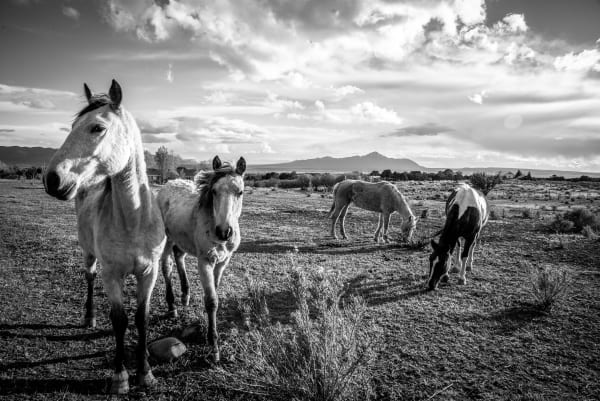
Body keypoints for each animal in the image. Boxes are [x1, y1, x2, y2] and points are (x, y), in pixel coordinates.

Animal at [42, 79, 165, 392]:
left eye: (97, 127)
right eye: (73, 126)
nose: (51, 179)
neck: (133, 220)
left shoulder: (150, 272)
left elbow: (142, 318)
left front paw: (145, 372)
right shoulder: (112, 274)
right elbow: (119, 320)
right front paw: (120, 377)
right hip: (88, 255)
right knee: (89, 278)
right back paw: (89, 316)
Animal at [158, 155, 247, 360]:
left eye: (240, 192)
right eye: (213, 191)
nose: (224, 232)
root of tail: (168, 184)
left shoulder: (223, 262)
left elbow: (215, 291)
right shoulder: (204, 261)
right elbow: (211, 300)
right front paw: (213, 345)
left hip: (181, 238)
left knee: (179, 256)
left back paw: (185, 295)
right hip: (166, 238)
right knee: (166, 265)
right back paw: (172, 306)